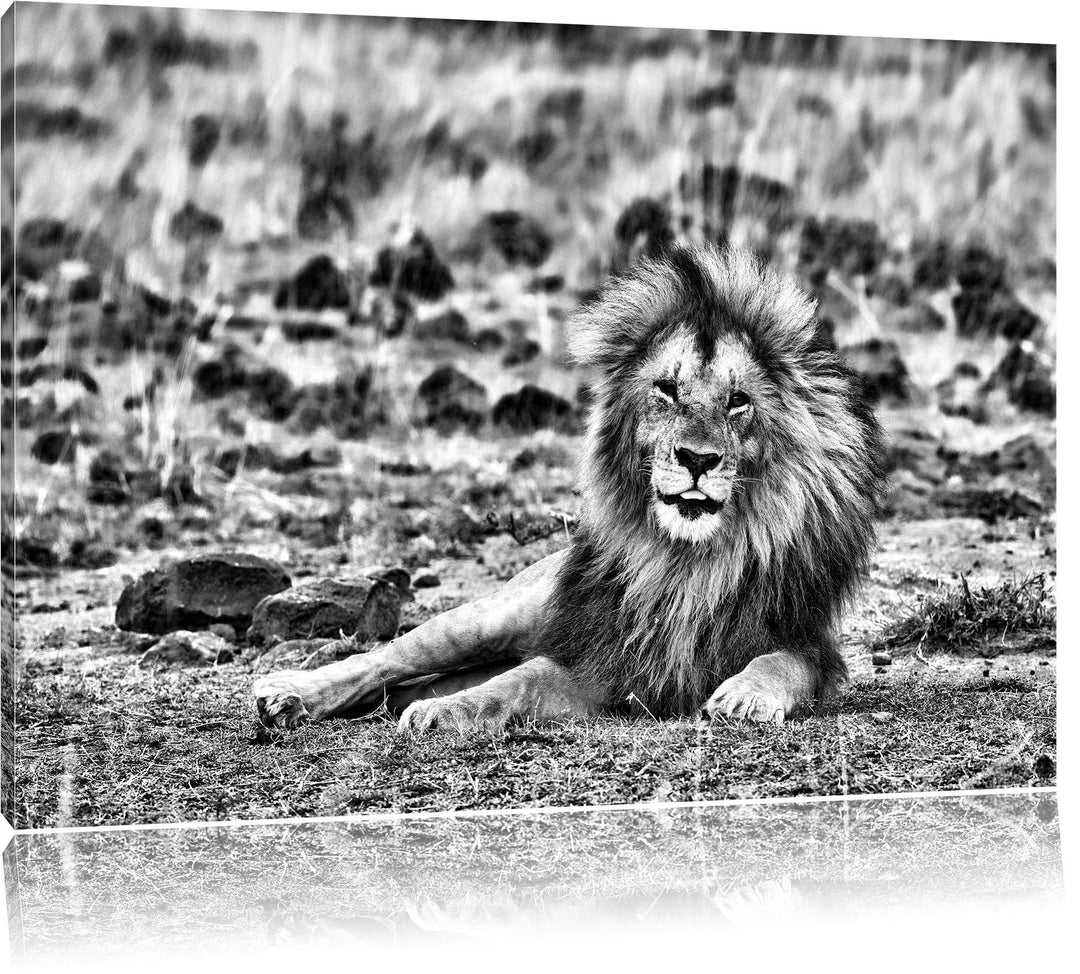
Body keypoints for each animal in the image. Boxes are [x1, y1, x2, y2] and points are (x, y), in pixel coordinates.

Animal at [253, 244, 886, 733]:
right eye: (666, 389)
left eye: (738, 401)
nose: (698, 459)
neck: (685, 563)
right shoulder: (606, 655)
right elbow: (518, 680)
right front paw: (444, 713)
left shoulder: (807, 641)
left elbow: (783, 663)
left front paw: (744, 696)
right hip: (500, 613)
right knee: (390, 658)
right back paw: (287, 693)